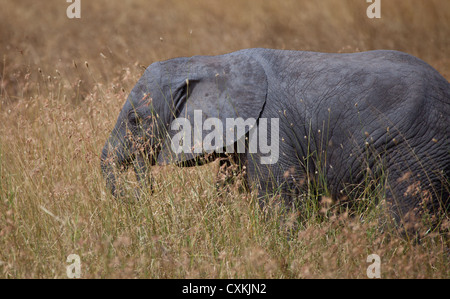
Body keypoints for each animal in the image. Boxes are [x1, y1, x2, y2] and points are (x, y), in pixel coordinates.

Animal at [102, 48, 450, 229]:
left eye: (135, 120)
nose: (141, 193)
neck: (214, 62)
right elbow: (229, 185)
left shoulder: (271, 127)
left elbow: (278, 194)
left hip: (415, 148)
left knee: (401, 216)